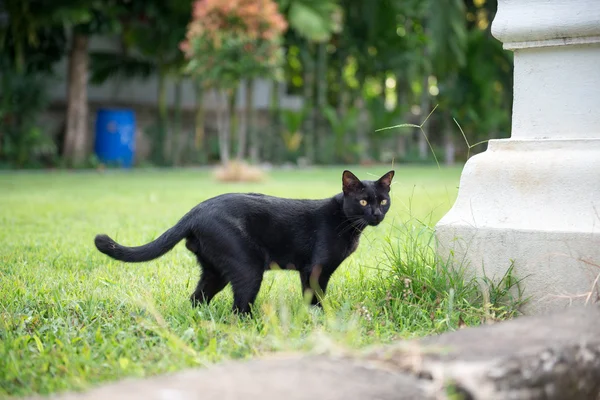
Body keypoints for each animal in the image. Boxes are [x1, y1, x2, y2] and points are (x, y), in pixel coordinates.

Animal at [95, 169, 394, 312]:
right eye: (363, 201)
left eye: (383, 201)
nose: (376, 214)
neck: (348, 224)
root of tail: (195, 211)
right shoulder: (314, 270)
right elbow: (315, 297)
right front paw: (320, 318)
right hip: (248, 267)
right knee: (238, 309)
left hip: (214, 272)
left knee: (196, 298)